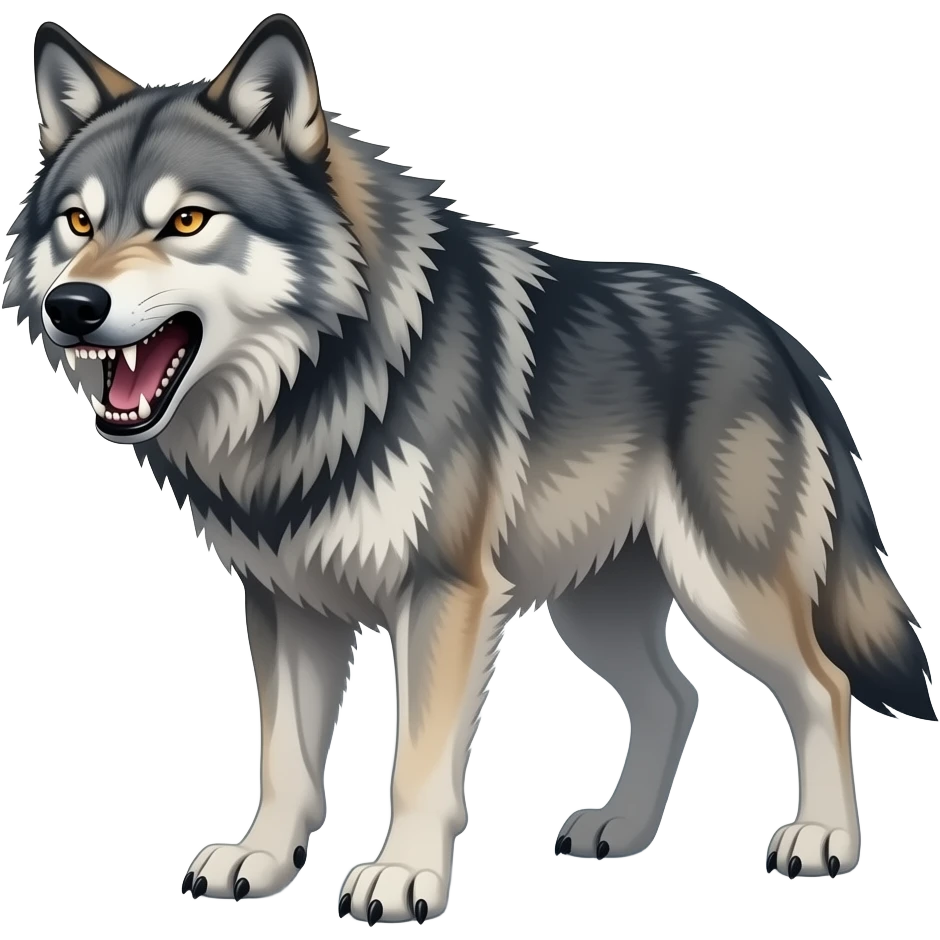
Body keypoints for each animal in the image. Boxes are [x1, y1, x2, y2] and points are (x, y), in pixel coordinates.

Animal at [3, 12, 936, 922]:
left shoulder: (443, 593)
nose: (73, 307)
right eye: (79, 223)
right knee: (676, 696)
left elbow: (416, 762)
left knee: (822, 684)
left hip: (727, 589)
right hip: (594, 610)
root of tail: (779, 340)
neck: (320, 384)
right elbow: (285, 760)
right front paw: (262, 860)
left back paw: (822, 841)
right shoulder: (285, 603)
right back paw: (622, 830)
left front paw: (402, 877)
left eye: (188, 222)